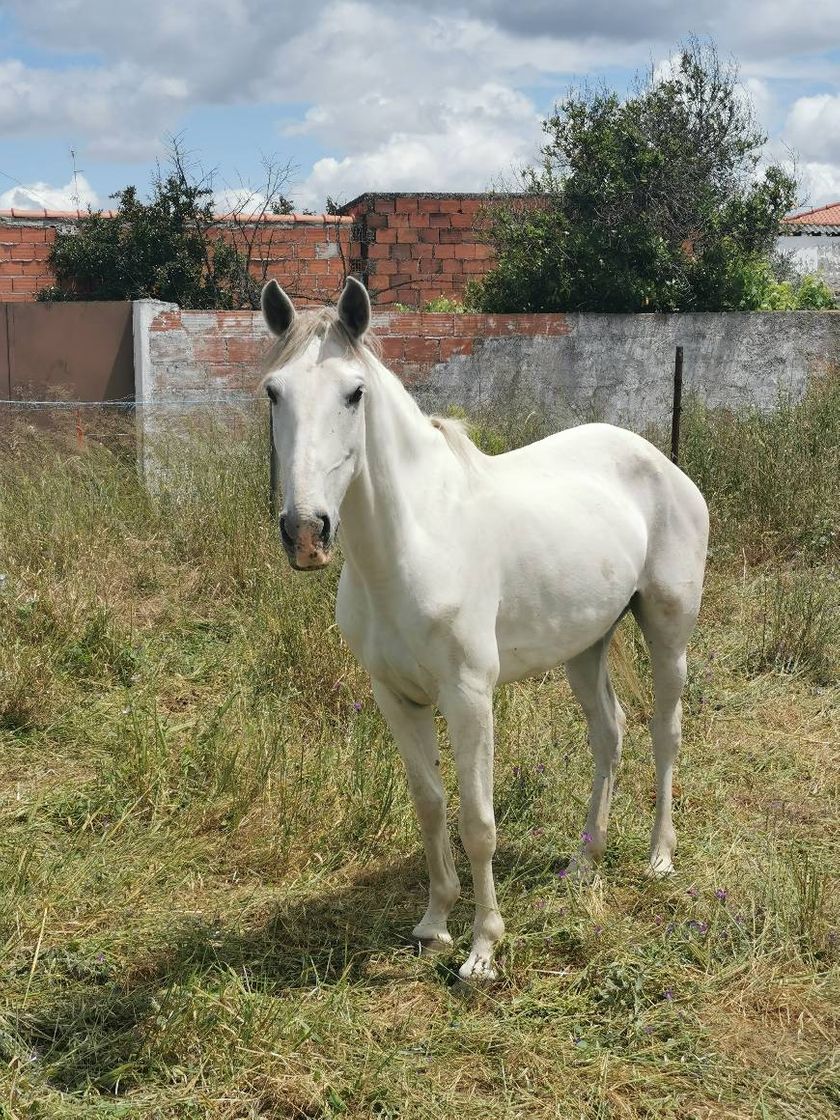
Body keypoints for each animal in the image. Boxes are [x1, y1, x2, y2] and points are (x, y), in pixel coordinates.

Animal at [263, 277, 712, 981]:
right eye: (273, 391)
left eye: (354, 393)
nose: (306, 532)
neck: (417, 542)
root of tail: (660, 462)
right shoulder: (396, 698)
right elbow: (430, 806)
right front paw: (434, 925)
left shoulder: (469, 696)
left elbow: (477, 821)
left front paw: (482, 949)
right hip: (586, 646)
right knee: (609, 734)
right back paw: (584, 859)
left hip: (668, 632)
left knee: (665, 733)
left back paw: (659, 857)